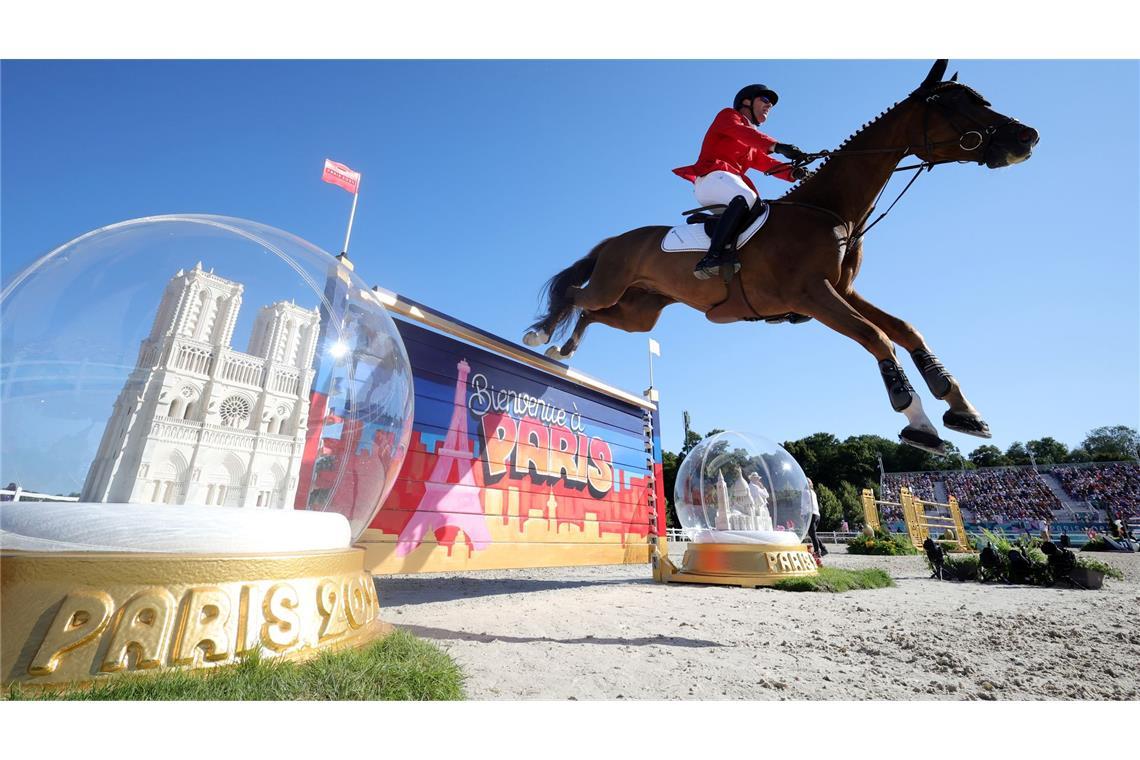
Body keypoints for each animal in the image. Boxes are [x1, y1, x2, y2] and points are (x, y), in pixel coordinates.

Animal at [524, 62, 1044, 455]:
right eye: (956, 104)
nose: (1027, 137)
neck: (831, 209)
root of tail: (615, 239)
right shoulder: (812, 295)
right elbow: (877, 337)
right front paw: (921, 426)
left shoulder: (843, 290)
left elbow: (906, 330)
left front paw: (963, 410)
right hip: (614, 284)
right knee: (576, 295)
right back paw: (542, 335)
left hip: (640, 313)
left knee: (593, 313)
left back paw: (563, 351)